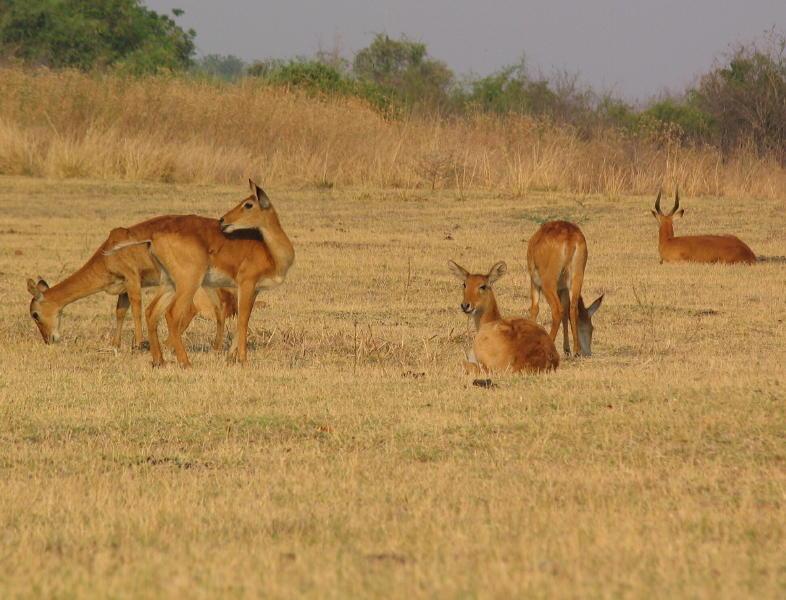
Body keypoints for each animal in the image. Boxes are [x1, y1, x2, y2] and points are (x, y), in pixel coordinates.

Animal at [27, 216, 236, 350]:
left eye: (35, 314)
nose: (49, 339)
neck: (108, 253)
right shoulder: (123, 288)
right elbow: (120, 311)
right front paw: (116, 344)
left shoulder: (133, 279)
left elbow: (136, 309)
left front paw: (139, 343)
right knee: (218, 307)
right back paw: (214, 346)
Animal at [105, 179, 296, 366]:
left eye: (248, 204)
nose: (223, 220)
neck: (270, 252)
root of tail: (154, 237)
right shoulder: (246, 284)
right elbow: (242, 320)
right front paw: (242, 360)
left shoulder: (255, 290)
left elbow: (245, 318)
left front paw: (230, 357)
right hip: (189, 283)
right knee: (171, 314)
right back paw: (185, 362)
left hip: (169, 283)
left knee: (151, 311)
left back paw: (159, 361)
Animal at [524, 220, 604, 356]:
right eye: (591, 327)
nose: (588, 352)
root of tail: (569, 236)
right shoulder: (564, 289)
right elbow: (566, 313)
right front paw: (567, 349)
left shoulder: (535, 283)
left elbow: (535, 309)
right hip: (577, 278)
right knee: (573, 309)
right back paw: (576, 350)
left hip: (548, 285)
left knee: (557, 311)